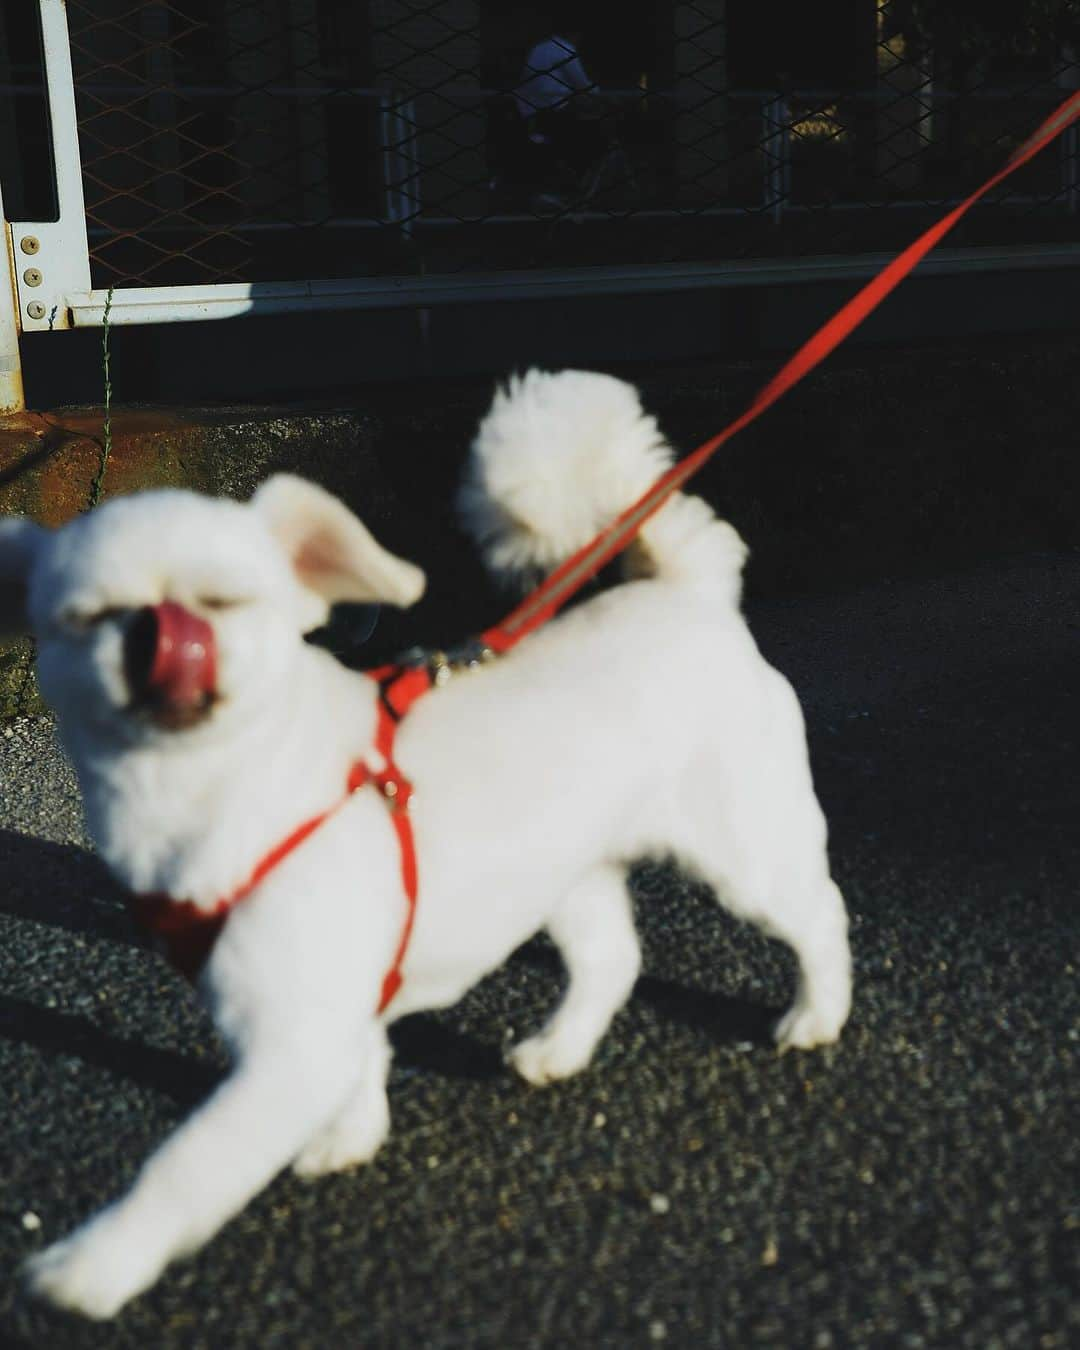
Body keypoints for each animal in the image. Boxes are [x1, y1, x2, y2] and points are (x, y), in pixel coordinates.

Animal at [2, 369, 853, 1317]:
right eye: (87, 617)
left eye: (224, 602)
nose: (159, 635)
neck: (221, 790)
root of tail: (687, 593)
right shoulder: (338, 1005)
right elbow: (364, 1067)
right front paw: (353, 1136)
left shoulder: (292, 1042)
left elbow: (185, 1166)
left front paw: (95, 1264)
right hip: (565, 874)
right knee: (613, 959)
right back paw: (560, 1049)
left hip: (744, 850)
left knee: (820, 914)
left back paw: (818, 1014)